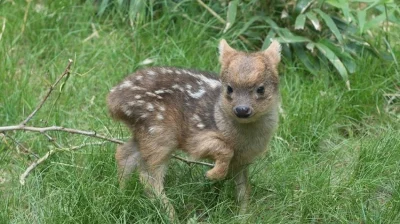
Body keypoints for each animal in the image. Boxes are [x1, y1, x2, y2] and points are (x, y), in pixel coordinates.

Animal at [106, 39, 282, 219]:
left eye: (261, 89)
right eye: (229, 88)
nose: (242, 110)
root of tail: (113, 101)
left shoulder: (244, 159)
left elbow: (244, 188)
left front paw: (243, 215)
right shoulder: (196, 138)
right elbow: (224, 149)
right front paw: (212, 174)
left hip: (144, 131)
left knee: (124, 153)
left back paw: (121, 193)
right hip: (160, 131)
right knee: (148, 177)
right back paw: (171, 216)